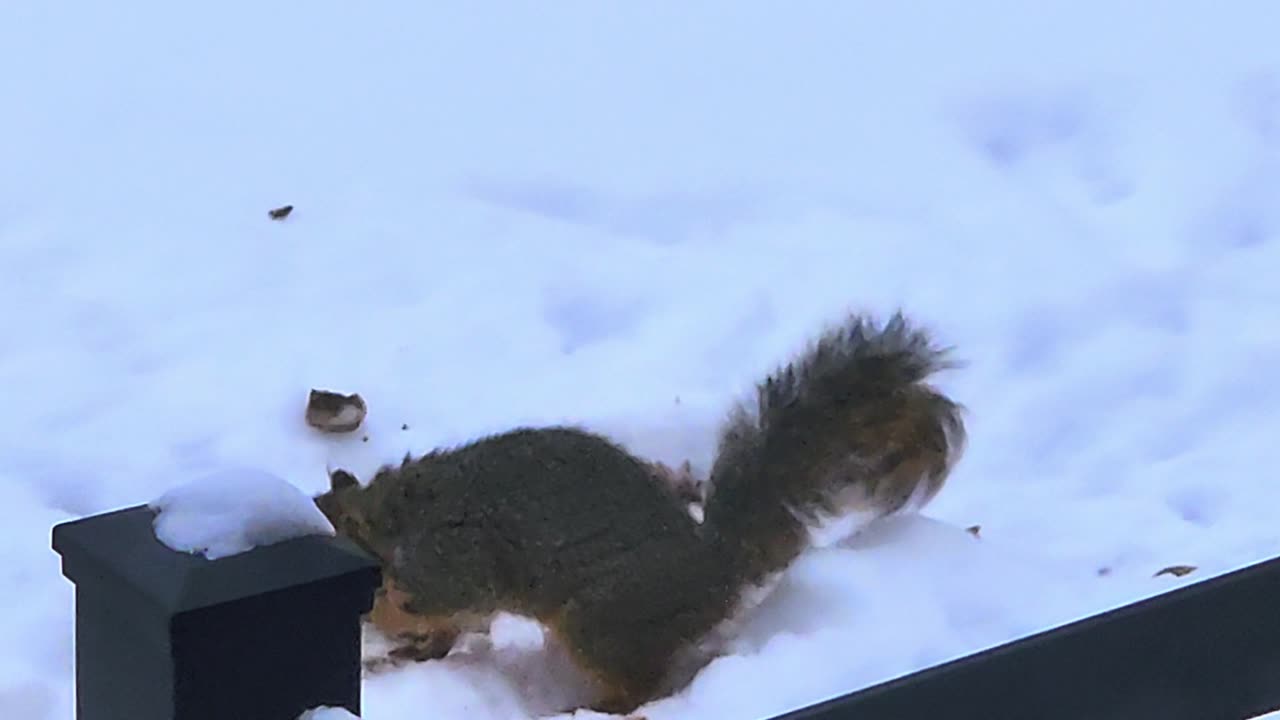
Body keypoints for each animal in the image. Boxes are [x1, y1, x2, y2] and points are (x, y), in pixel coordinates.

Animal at [314, 310, 962, 712]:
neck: (399, 515)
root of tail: (713, 577)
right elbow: (448, 631)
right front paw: (406, 649)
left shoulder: (455, 558)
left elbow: (441, 600)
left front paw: (387, 616)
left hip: (602, 622)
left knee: (646, 687)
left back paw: (595, 707)